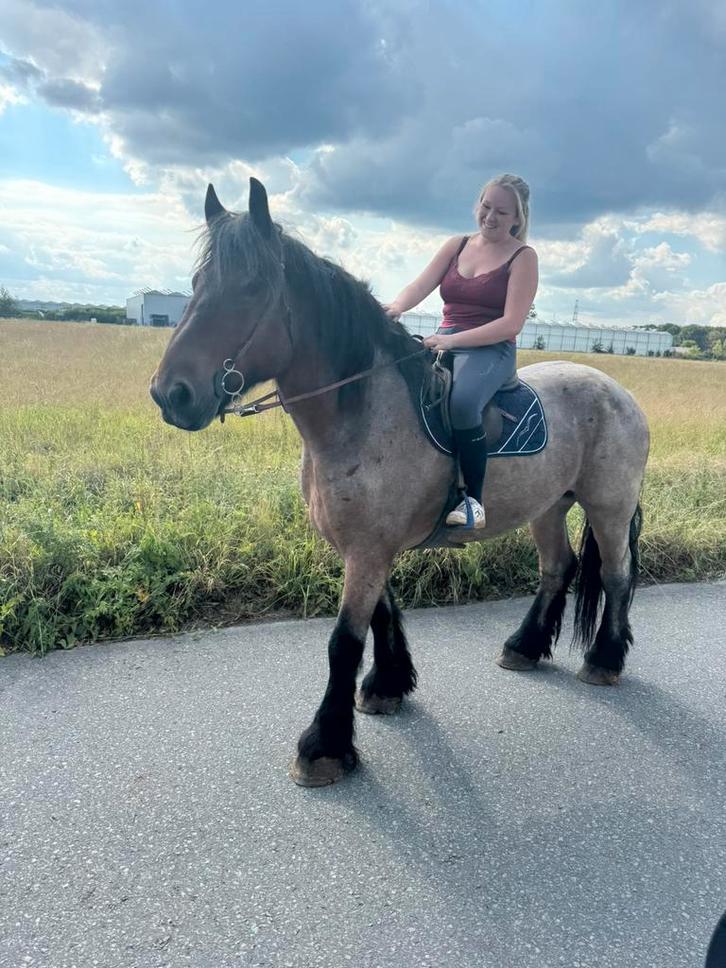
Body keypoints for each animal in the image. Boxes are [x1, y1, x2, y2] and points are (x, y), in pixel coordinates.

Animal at [150, 178, 650, 788]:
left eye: (250, 288)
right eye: (198, 284)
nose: (171, 394)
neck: (359, 412)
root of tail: (618, 391)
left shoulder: (368, 548)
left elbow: (344, 642)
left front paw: (324, 746)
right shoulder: (367, 545)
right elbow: (383, 613)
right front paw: (387, 687)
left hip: (608, 506)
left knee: (618, 577)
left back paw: (603, 660)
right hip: (550, 506)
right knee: (559, 568)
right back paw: (524, 647)